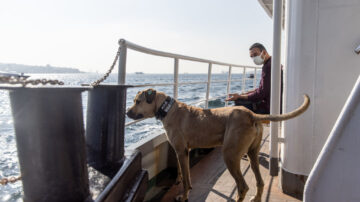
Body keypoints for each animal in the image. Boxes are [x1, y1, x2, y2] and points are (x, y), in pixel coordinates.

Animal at [126, 89, 310, 202]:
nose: (127, 112)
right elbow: (186, 175)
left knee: (243, 186)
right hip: (252, 154)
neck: (167, 108)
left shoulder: (181, 151)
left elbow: (185, 178)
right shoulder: (184, 152)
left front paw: (183, 196)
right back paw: (257, 198)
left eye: (137, 101)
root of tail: (251, 114)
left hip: (230, 156)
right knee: (260, 182)